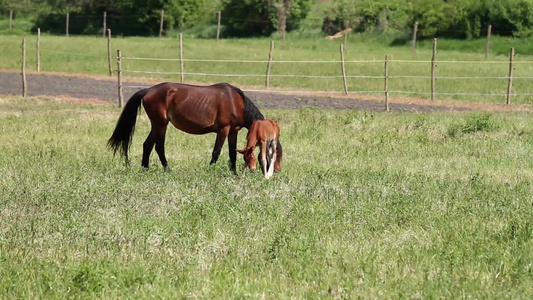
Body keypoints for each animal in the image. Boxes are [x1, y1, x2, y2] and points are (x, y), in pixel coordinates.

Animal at [106, 82, 278, 172]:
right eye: (271, 153)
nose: (273, 171)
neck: (237, 103)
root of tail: (148, 90)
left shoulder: (233, 132)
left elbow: (232, 153)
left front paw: (234, 173)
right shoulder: (223, 130)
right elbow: (216, 152)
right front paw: (210, 171)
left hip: (157, 124)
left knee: (147, 144)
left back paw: (145, 168)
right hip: (161, 123)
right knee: (158, 146)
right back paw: (167, 169)